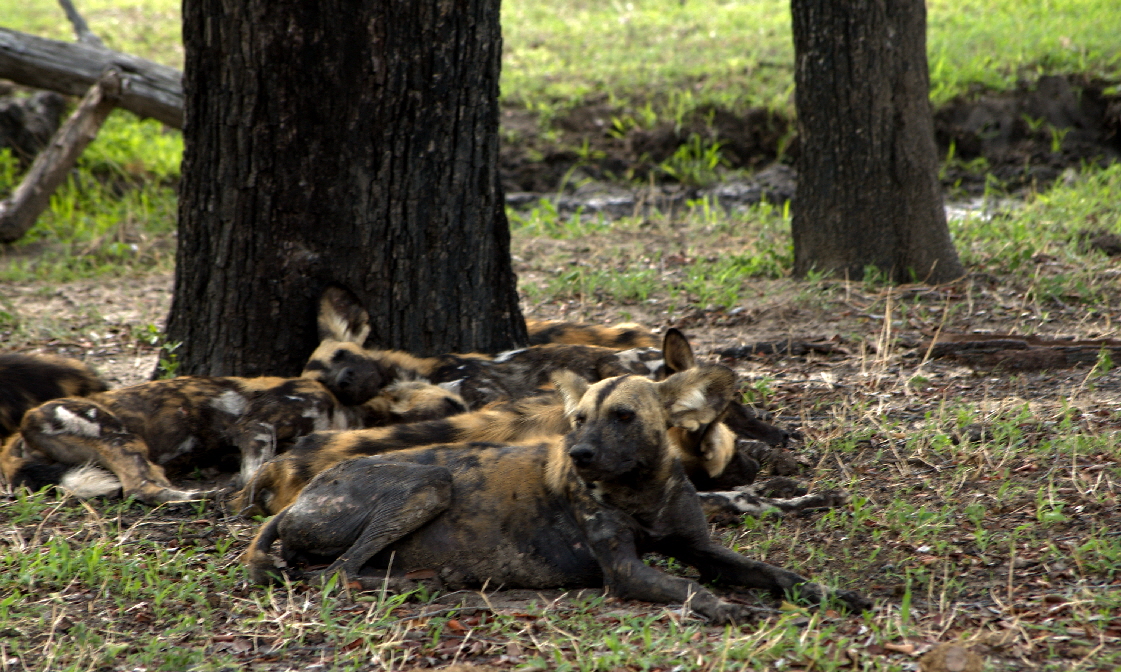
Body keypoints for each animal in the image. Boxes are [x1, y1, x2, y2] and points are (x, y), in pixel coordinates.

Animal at [247, 367, 874, 623]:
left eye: (623, 417)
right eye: (578, 420)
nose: (579, 454)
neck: (641, 491)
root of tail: (301, 494)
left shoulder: (703, 549)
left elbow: (776, 573)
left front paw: (833, 593)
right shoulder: (625, 572)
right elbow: (693, 591)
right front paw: (728, 608)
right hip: (428, 483)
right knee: (337, 573)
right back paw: (417, 584)